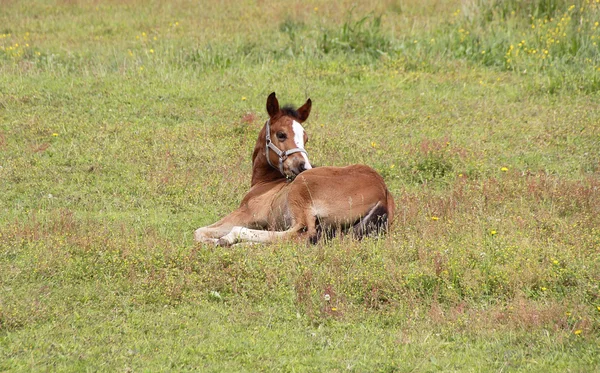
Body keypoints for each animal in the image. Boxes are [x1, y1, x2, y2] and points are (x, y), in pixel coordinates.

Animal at [195, 92, 396, 246]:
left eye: (305, 138)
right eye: (281, 134)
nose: (304, 166)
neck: (267, 183)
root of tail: (382, 192)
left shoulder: (246, 213)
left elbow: (199, 232)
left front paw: (216, 240)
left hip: (299, 194)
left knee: (300, 234)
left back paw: (231, 239)